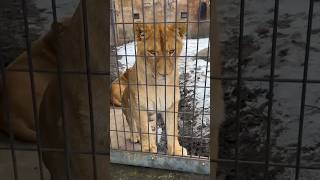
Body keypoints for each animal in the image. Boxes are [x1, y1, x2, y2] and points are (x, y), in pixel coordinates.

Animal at [117, 22, 188, 155]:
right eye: (152, 52)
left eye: (172, 51)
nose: (164, 74)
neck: (158, 86)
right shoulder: (140, 106)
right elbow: (144, 129)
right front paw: (149, 148)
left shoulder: (171, 105)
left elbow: (172, 129)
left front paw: (176, 150)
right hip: (127, 108)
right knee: (132, 123)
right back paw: (135, 136)